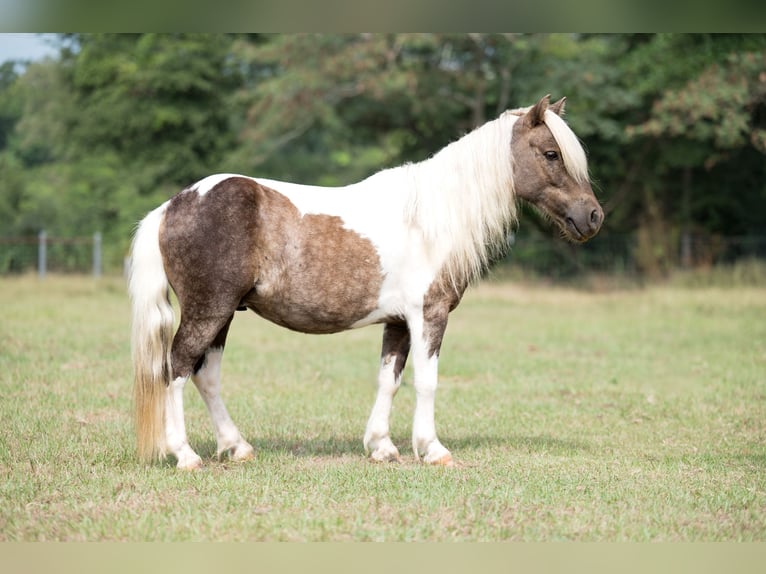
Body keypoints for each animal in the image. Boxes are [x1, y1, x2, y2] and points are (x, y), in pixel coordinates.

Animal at [128, 94, 603, 469]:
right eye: (550, 154)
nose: (593, 216)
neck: (429, 219)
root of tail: (173, 205)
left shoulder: (398, 322)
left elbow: (388, 379)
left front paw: (381, 446)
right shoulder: (428, 315)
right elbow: (426, 380)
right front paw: (432, 449)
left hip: (224, 314)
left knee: (205, 375)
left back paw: (237, 447)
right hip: (208, 310)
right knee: (177, 368)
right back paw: (186, 455)